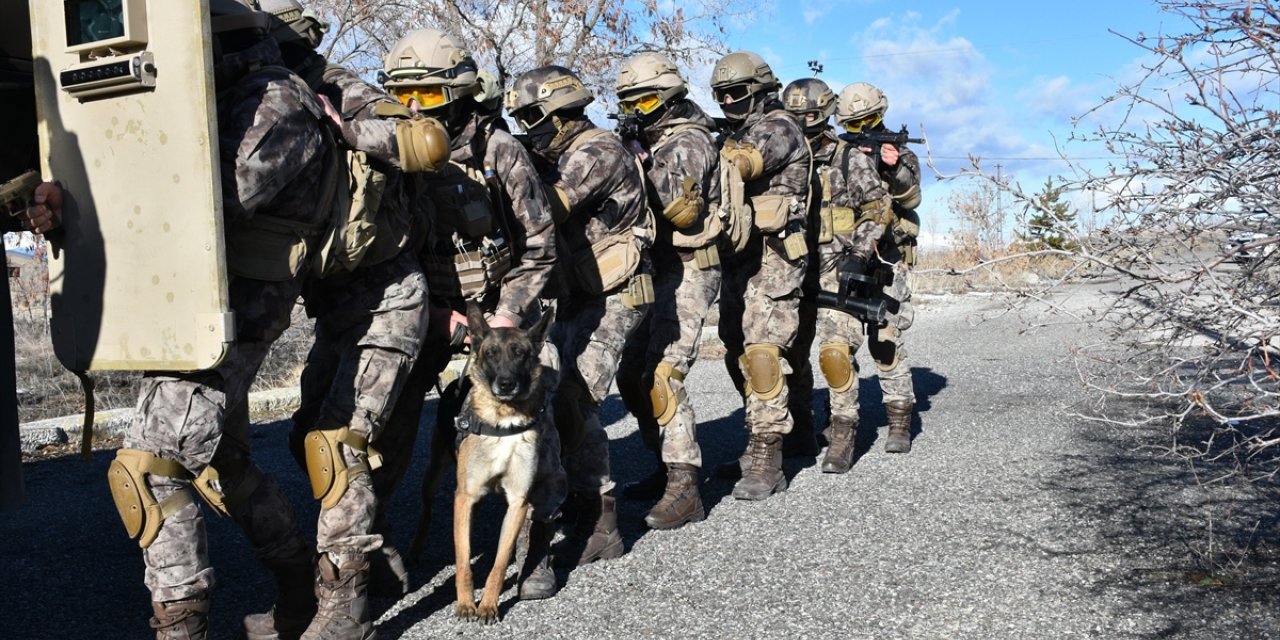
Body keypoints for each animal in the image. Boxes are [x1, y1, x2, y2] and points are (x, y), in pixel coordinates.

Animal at [417, 302, 552, 622]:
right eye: (491, 353)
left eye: (520, 353)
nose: (506, 384)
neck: (504, 420)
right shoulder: (465, 497)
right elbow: (463, 559)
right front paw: (466, 603)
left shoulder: (518, 503)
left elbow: (500, 563)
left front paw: (489, 604)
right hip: (435, 475)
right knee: (426, 506)